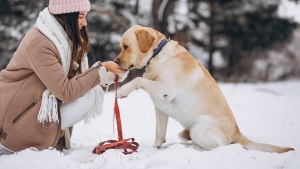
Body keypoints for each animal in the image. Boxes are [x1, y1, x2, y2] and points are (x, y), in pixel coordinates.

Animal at [114, 25, 292, 153]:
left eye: (126, 46)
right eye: (121, 47)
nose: (115, 61)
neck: (157, 55)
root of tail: (238, 133)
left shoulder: (167, 89)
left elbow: (139, 79)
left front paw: (123, 91)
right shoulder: (160, 109)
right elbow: (159, 132)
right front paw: (156, 148)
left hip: (199, 130)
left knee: (222, 147)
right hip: (189, 130)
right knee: (187, 137)